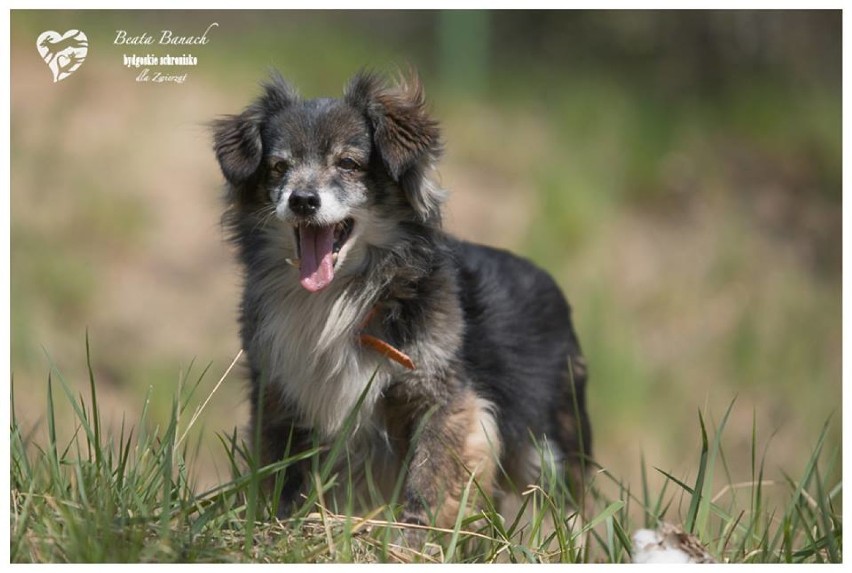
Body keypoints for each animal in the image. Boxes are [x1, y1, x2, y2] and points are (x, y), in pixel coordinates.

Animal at [211, 70, 592, 532]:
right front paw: (281, 523)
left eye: (349, 164)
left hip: (550, 443)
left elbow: (428, 481)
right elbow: (282, 473)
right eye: (278, 167)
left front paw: (412, 539)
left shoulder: (443, 397)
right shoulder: (279, 390)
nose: (301, 200)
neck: (340, 299)